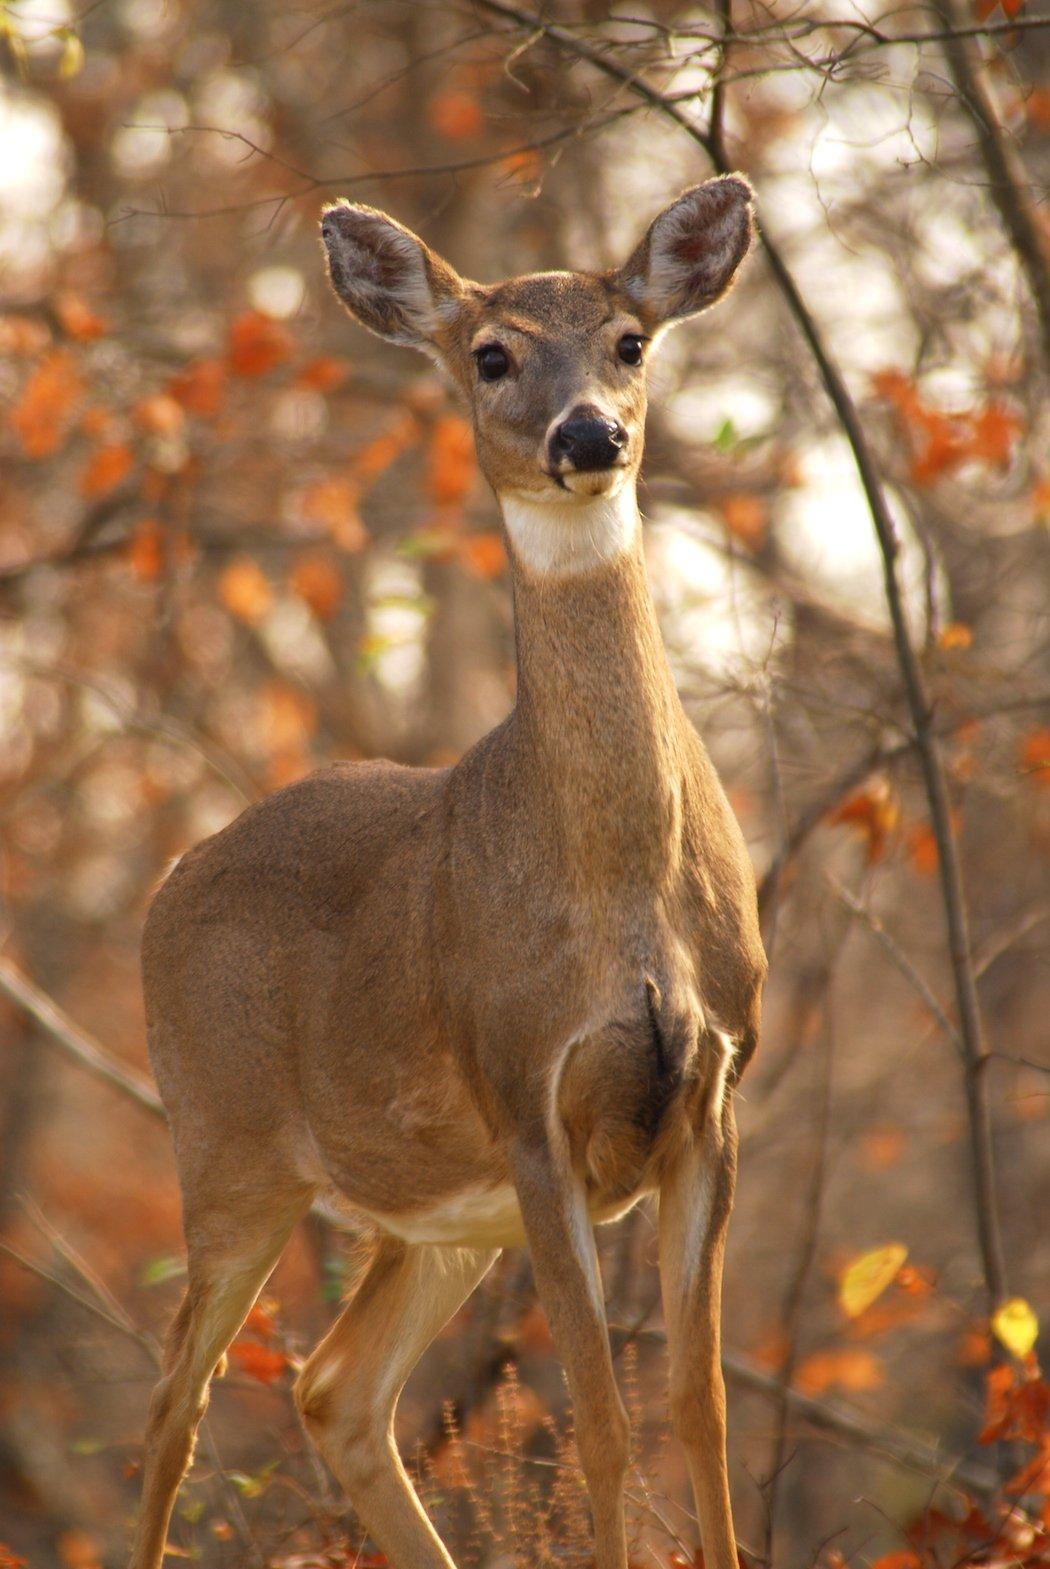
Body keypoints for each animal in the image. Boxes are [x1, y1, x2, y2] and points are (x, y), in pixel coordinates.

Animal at [131, 178, 765, 1569]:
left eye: (630, 340)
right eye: (491, 355)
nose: (591, 434)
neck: (622, 893)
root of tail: (167, 878)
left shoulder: (714, 1092)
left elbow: (702, 1414)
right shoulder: (527, 1093)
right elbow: (603, 1422)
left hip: (440, 1216)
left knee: (336, 1387)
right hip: (226, 1149)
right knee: (175, 1407)